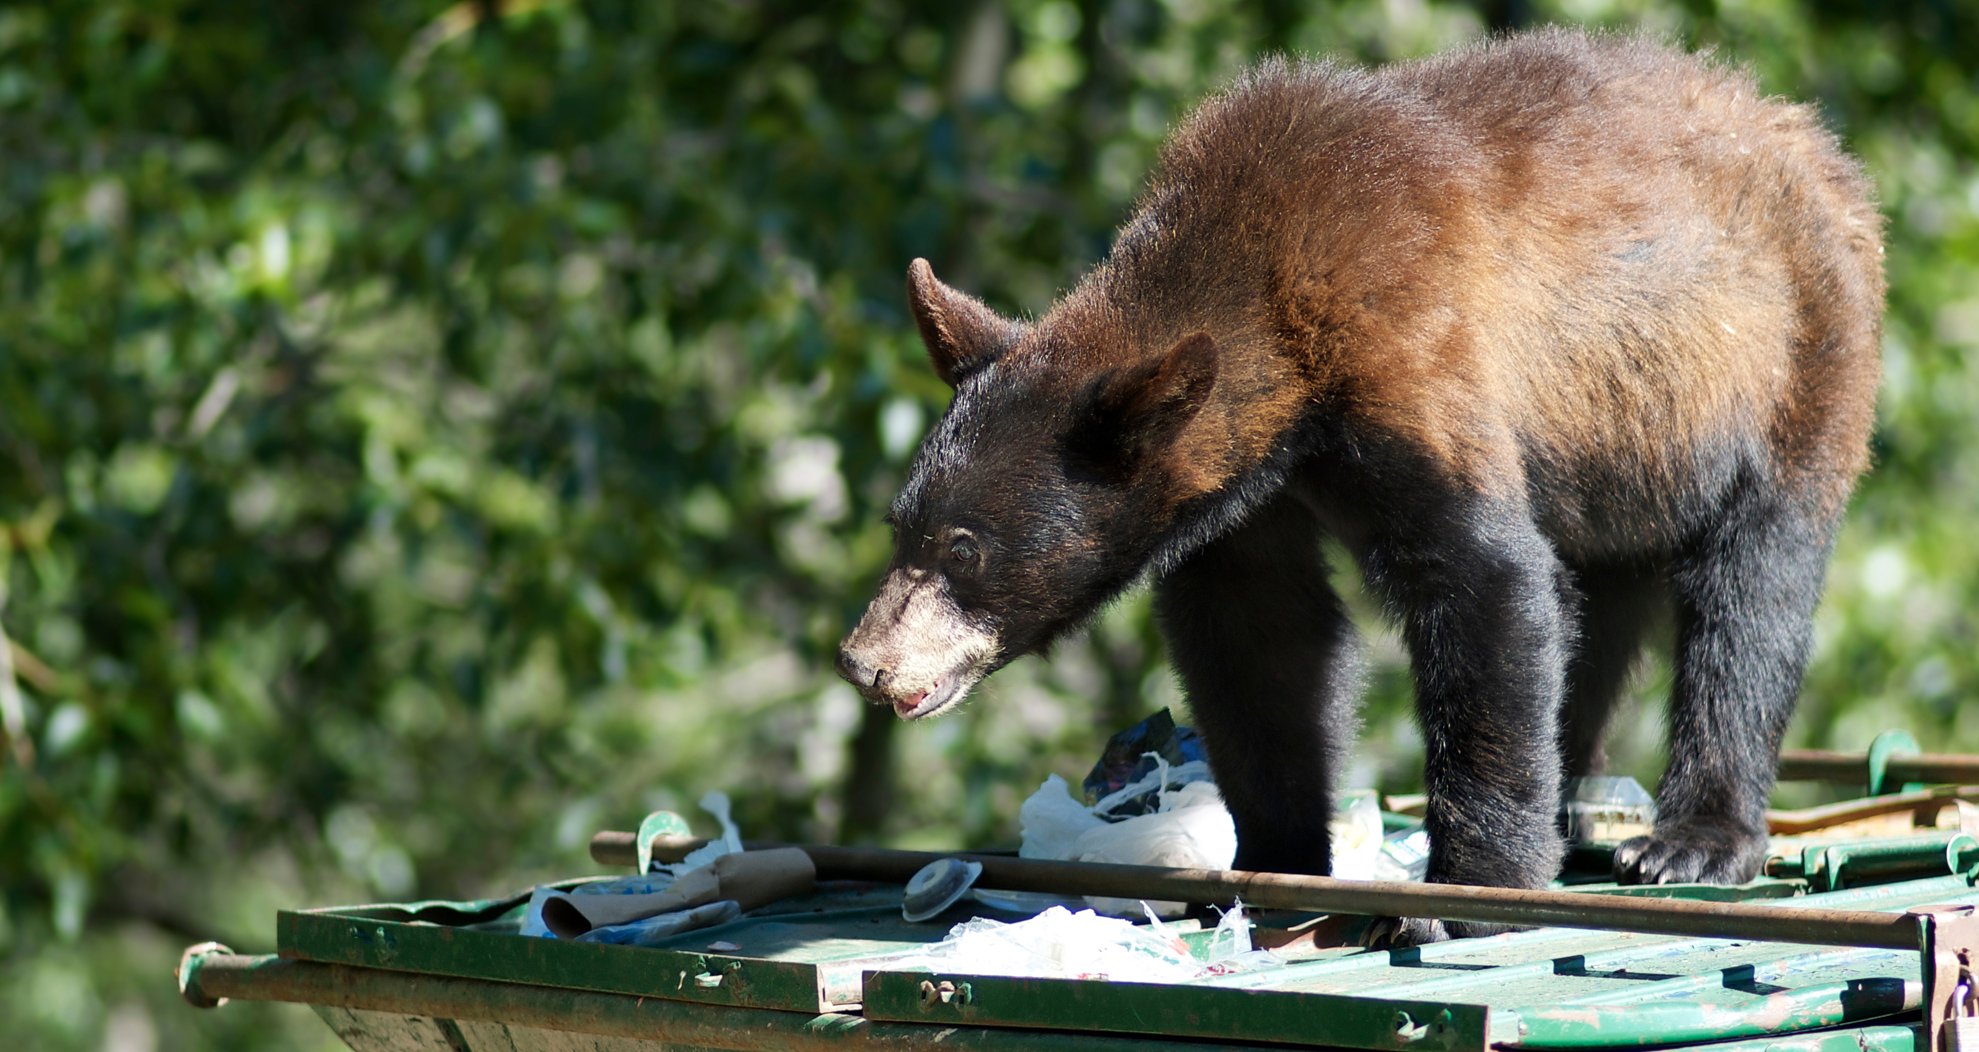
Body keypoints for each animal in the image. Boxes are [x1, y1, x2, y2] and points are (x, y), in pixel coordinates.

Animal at [835, 26, 1884, 945]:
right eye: (899, 526)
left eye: (963, 549)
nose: (863, 660)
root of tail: (1813, 139)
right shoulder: (1241, 491)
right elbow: (1260, 637)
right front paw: (1270, 861)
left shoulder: (1409, 346)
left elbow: (1484, 583)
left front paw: (1463, 892)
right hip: (1619, 450)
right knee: (1596, 605)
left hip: (1795, 358)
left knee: (1750, 592)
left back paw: (1693, 840)